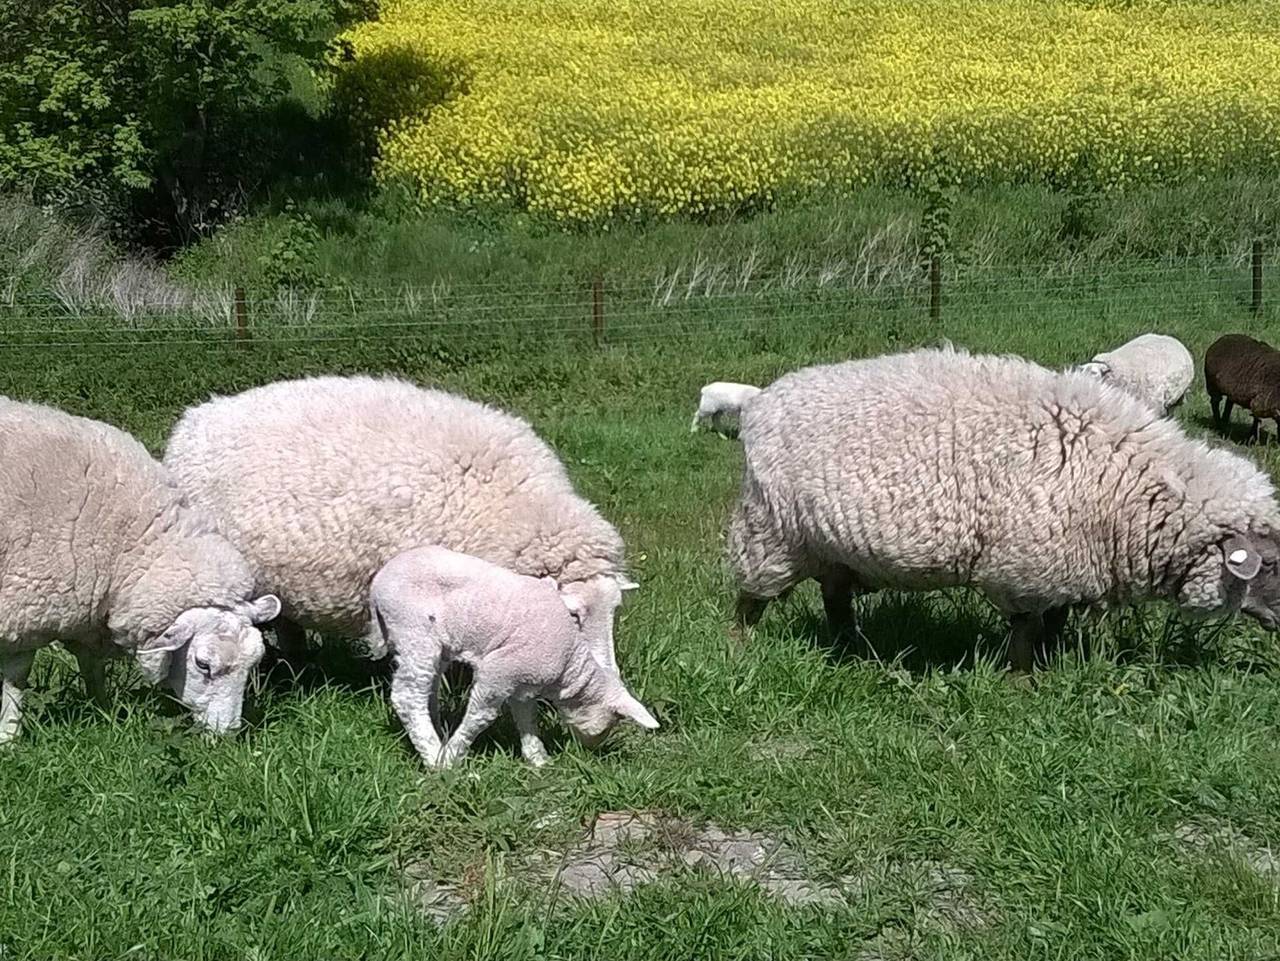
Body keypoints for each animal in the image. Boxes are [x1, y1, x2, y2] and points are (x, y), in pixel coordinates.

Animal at [0, 394, 281, 742]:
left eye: (253, 663)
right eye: (203, 665)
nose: (225, 735)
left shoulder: (87, 610)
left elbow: (91, 665)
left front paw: (104, 711)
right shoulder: (23, 613)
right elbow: (16, 680)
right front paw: (9, 736)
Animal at [366, 547, 655, 767]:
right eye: (611, 722)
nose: (591, 750)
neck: (569, 665)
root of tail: (377, 585)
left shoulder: (523, 679)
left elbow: (526, 716)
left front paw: (539, 760)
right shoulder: (499, 671)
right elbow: (480, 717)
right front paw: (452, 757)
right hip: (414, 631)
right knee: (407, 697)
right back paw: (434, 756)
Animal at [727, 345, 1280, 670]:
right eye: (1269, 562)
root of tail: (762, 401)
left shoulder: (1062, 563)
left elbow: (1054, 620)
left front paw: (1052, 662)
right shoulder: (1025, 564)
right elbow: (1027, 628)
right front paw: (1022, 680)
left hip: (833, 545)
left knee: (836, 598)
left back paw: (851, 649)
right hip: (771, 529)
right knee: (751, 597)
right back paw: (741, 646)